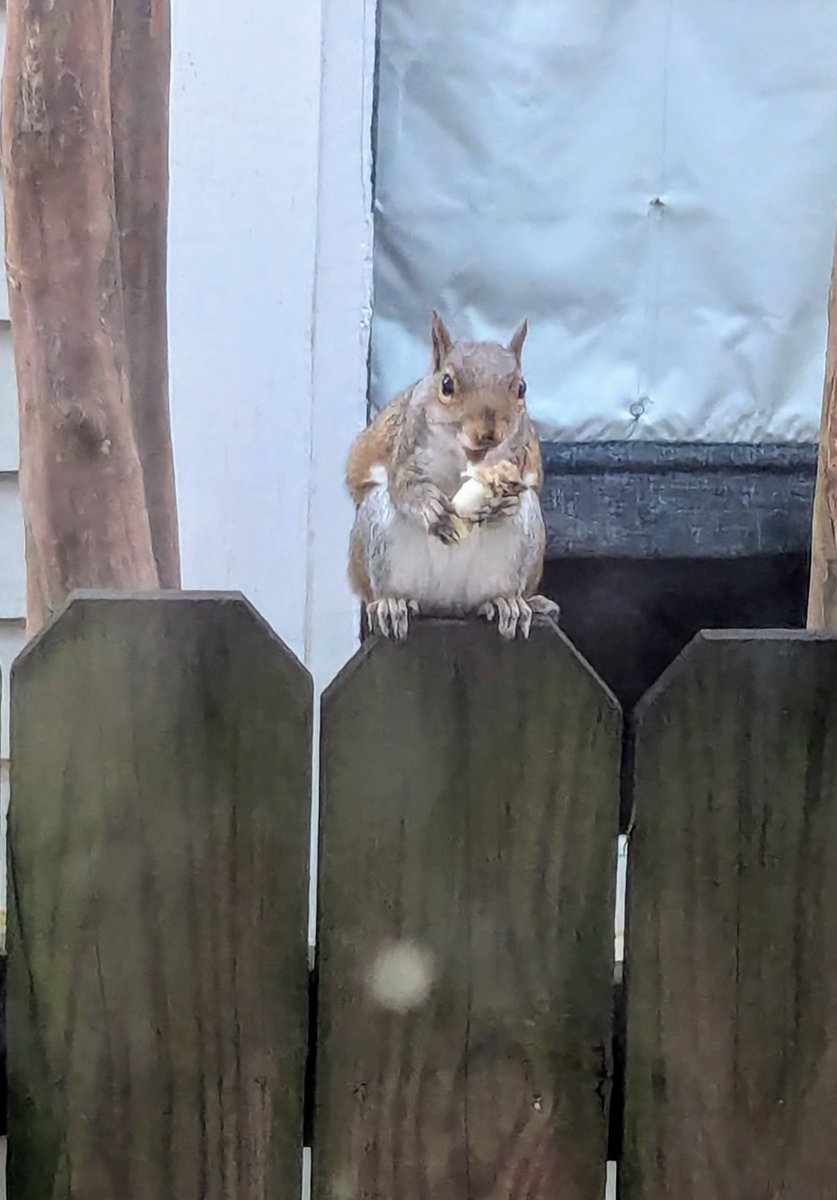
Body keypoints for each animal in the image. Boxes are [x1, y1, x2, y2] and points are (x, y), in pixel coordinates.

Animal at [346, 313, 560, 640]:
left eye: (521, 388)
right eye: (446, 385)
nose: (489, 433)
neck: (463, 459)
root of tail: (447, 607)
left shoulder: (521, 463)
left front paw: (502, 505)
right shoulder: (404, 451)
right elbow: (403, 487)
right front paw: (428, 505)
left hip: (522, 541)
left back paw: (504, 602)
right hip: (377, 531)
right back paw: (392, 603)